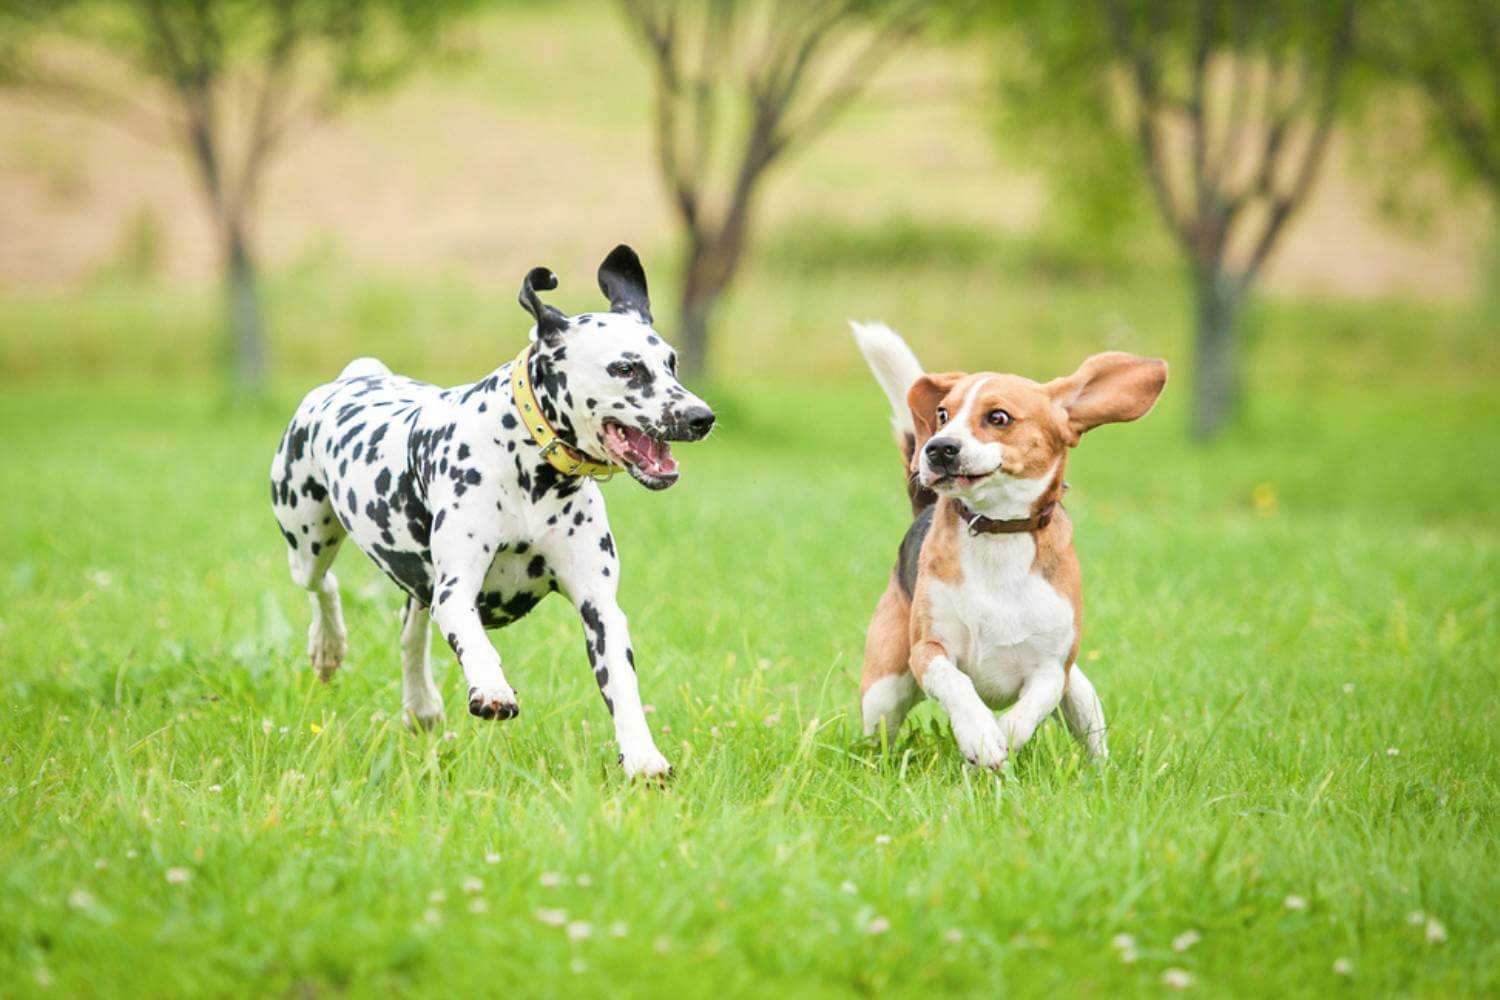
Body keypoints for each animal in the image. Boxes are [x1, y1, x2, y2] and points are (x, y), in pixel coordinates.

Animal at [271, 245, 714, 779]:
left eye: (671, 363)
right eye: (626, 368)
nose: (701, 417)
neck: (531, 472)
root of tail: (356, 376)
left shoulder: (599, 606)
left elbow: (623, 687)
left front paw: (643, 757)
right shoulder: (457, 587)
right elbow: (475, 642)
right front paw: (492, 688)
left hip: (414, 577)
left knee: (411, 627)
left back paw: (421, 703)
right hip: (309, 542)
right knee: (325, 587)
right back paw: (329, 647)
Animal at [852, 325, 1164, 773]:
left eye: (998, 417)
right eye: (943, 414)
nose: (937, 448)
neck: (998, 530)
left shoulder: (1052, 668)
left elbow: (1031, 707)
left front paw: (999, 740)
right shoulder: (929, 650)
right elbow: (956, 682)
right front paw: (981, 736)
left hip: (1081, 692)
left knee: (1088, 728)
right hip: (884, 688)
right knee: (878, 733)